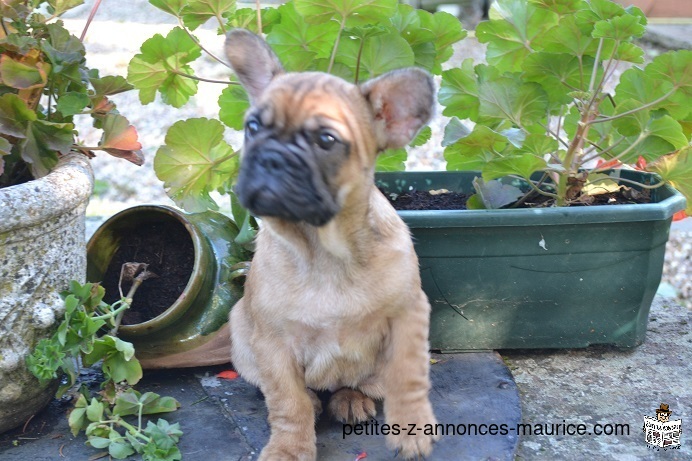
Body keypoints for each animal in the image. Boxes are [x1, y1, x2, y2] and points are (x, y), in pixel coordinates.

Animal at [226, 29, 438, 460]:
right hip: (240, 333)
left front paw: (411, 428)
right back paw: (315, 397)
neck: (323, 248)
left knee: (358, 383)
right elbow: (287, 401)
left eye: (326, 140)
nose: (271, 157)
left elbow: (408, 376)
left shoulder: (408, 315)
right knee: (295, 394)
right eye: (253, 127)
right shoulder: (273, 342)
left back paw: (351, 398)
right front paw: (289, 449)